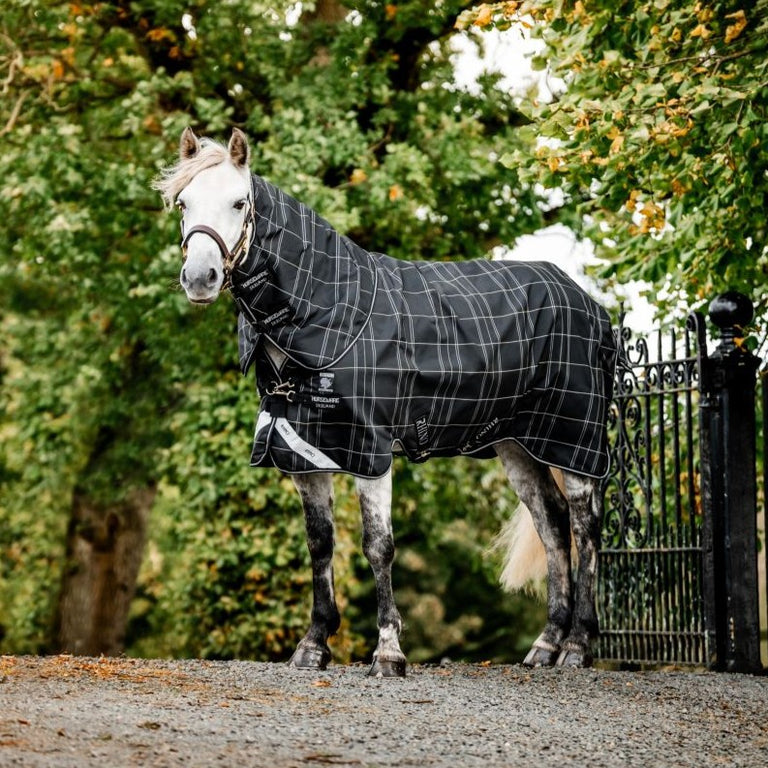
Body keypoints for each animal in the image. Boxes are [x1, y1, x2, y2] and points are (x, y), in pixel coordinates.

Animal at [154, 127, 617, 677]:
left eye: (239, 202)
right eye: (183, 203)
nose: (199, 277)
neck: (330, 312)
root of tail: (589, 304)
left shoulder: (370, 452)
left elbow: (378, 546)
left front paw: (389, 652)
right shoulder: (305, 454)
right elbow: (320, 545)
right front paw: (313, 645)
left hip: (574, 439)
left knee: (585, 527)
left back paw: (577, 646)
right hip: (518, 445)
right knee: (552, 525)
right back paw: (545, 645)